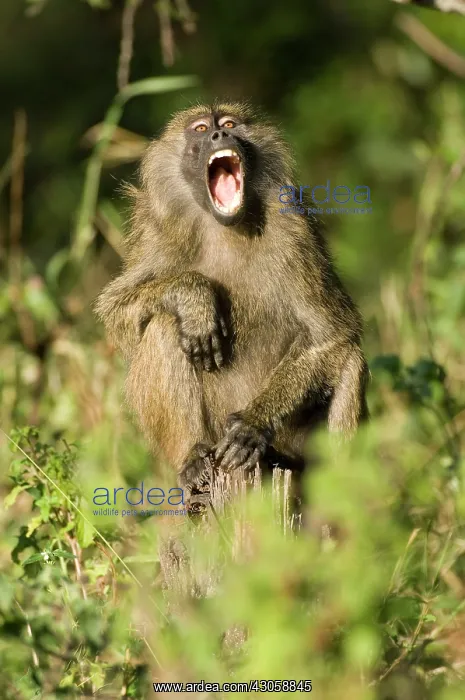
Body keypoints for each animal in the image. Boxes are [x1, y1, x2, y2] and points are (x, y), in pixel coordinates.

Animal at [95, 101, 368, 498]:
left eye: (229, 123)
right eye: (199, 128)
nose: (218, 134)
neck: (223, 227)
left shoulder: (292, 227)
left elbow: (333, 334)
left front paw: (252, 424)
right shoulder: (157, 230)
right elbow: (115, 312)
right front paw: (194, 300)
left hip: (294, 449)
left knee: (350, 359)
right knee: (162, 325)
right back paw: (192, 459)